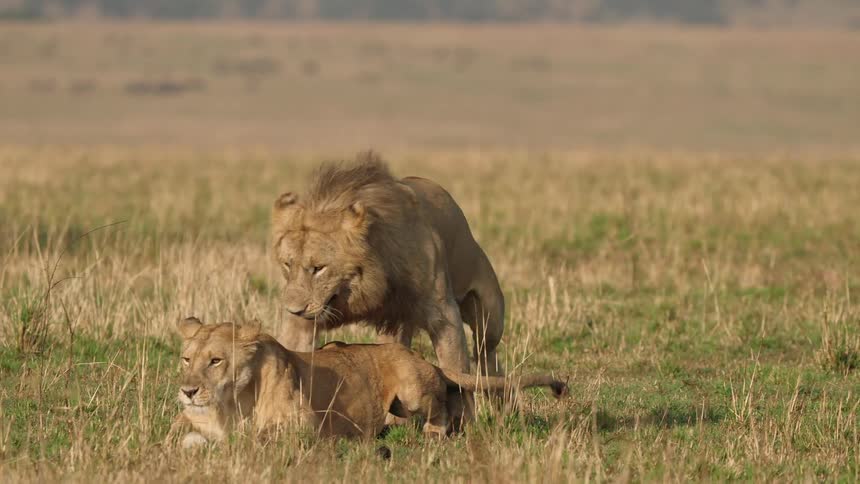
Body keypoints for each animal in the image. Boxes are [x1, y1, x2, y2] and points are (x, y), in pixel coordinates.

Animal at [171, 317, 566, 447]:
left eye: (216, 360)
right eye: (187, 359)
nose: (188, 391)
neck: (230, 403)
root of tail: (420, 357)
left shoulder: (305, 426)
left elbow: (257, 438)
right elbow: (180, 436)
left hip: (411, 391)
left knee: (442, 403)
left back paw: (434, 432)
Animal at [270, 153, 505, 381]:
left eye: (319, 268)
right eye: (287, 264)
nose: (294, 310)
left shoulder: (444, 313)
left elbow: (455, 366)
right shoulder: (305, 320)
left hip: (490, 312)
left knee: (486, 348)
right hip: (395, 327)